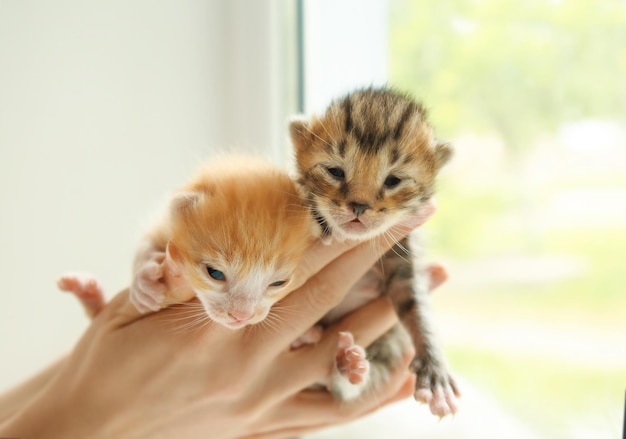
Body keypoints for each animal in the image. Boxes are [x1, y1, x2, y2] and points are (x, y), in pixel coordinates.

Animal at [288, 87, 458, 420]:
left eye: (393, 180)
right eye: (335, 171)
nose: (359, 206)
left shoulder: (403, 254)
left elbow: (415, 306)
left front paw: (434, 367)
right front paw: (319, 217)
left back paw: (349, 367)